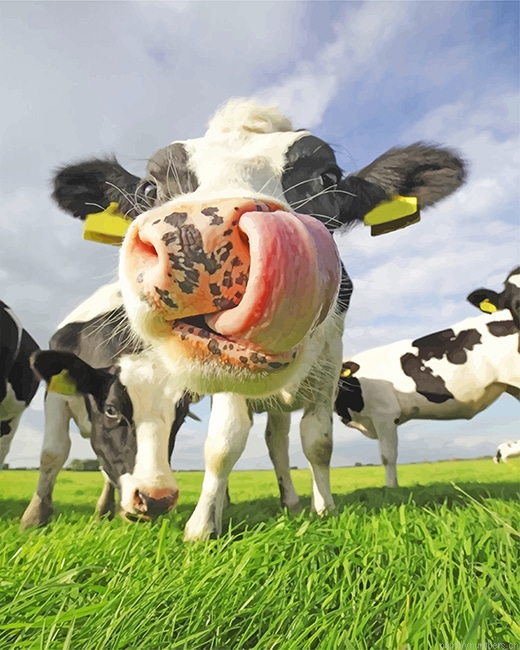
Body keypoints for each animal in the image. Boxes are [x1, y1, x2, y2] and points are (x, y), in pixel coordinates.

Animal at [20, 282, 191, 528]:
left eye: (182, 415)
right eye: (111, 410)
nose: (156, 499)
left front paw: (107, 510)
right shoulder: (55, 395)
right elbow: (53, 452)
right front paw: (34, 517)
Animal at [50, 98, 466, 539]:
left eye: (327, 178)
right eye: (149, 188)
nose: (198, 236)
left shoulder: (329, 368)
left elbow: (317, 442)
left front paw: (324, 508)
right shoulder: (224, 371)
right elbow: (223, 444)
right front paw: (202, 526)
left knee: (278, 441)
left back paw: (290, 501)